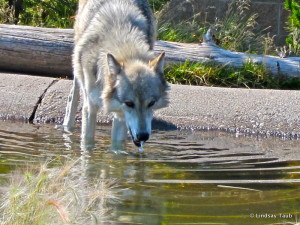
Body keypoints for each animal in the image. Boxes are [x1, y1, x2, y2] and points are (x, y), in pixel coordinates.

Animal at [63, 0, 169, 148]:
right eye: (129, 103)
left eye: (151, 103)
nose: (143, 136)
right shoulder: (90, 108)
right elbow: (88, 142)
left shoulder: (120, 115)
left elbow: (117, 147)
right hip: (77, 67)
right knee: (73, 95)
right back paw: (67, 127)